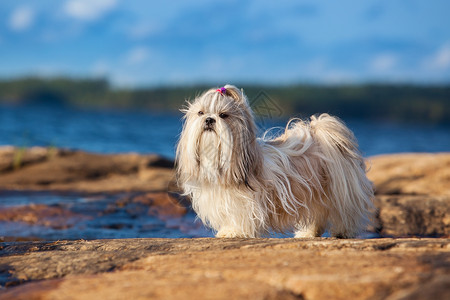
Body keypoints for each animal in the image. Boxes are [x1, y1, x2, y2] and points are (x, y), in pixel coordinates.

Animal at [176, 85, 372, 239]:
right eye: (200, 113)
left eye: (223, 115)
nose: (209, 119)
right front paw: (228, 230)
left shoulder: (246, 203)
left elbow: (241, 217)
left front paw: (234, 231)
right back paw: (308, 233)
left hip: (340, 190)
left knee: (346, 212)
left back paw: (344, 231)